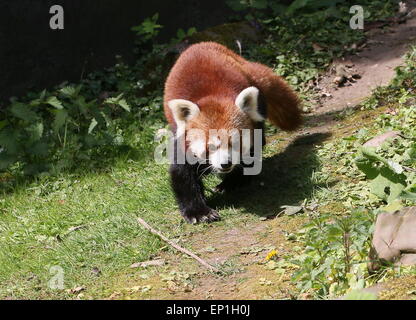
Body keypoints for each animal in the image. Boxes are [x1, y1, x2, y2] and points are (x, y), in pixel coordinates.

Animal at [162, 41, 302, 224]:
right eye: (211, 147)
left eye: (235, 144)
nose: (226, 164)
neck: (212, 97)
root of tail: (200, 44)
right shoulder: (182, 137)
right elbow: (182, 173)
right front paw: (198, 212)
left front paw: (232, 182)